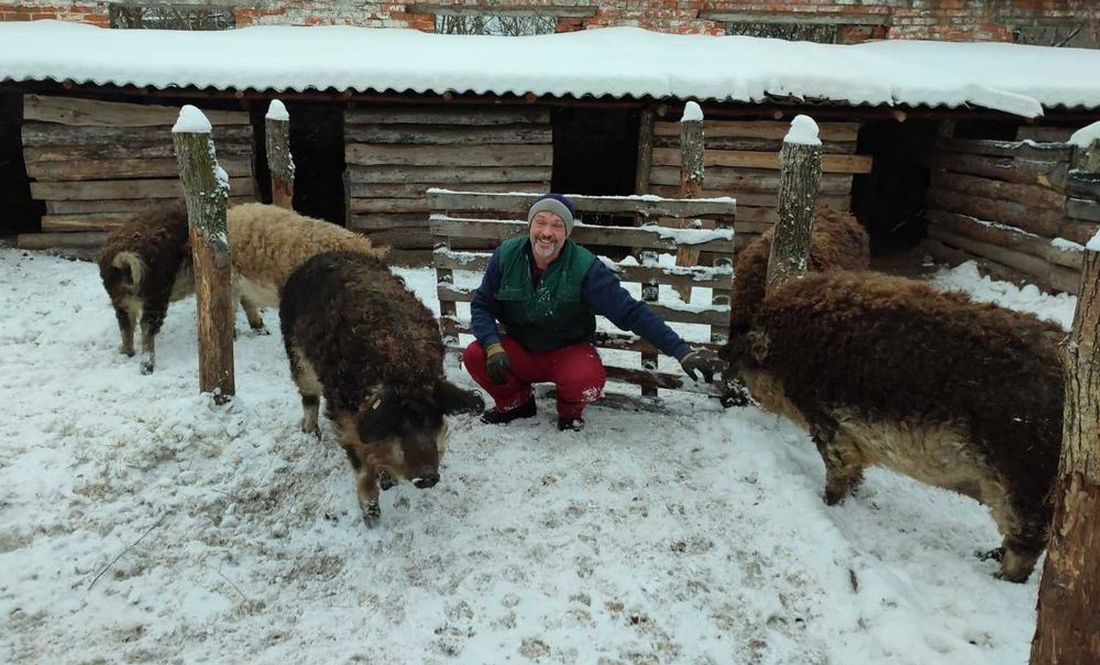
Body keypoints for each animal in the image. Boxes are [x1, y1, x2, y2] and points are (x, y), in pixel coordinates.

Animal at [97, 200, 194, 373]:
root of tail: (123, 259)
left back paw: (125, 352)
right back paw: (147, 367)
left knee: (125, 322)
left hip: (117, 298)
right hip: (156, 293)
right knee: (146, 325)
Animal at [279, 248, 481, 523]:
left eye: (435, 419)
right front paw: (372, 516)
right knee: (308, 395)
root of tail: (322, 255)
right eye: (399, 423)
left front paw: (389, 483)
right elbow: (362, 467)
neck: (406, 373)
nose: (427, 476)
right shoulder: (343, 412)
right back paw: (311, 433)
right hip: (296, 351)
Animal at [726, 269, 1060, 580]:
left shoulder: (825, 418)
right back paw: (987, 556)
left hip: (1026, 481)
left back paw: (998, 574)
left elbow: (839, 466)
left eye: (746, 350)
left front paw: (828, 503)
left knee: (1027, 544)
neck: (786, 350)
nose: (723, 351)